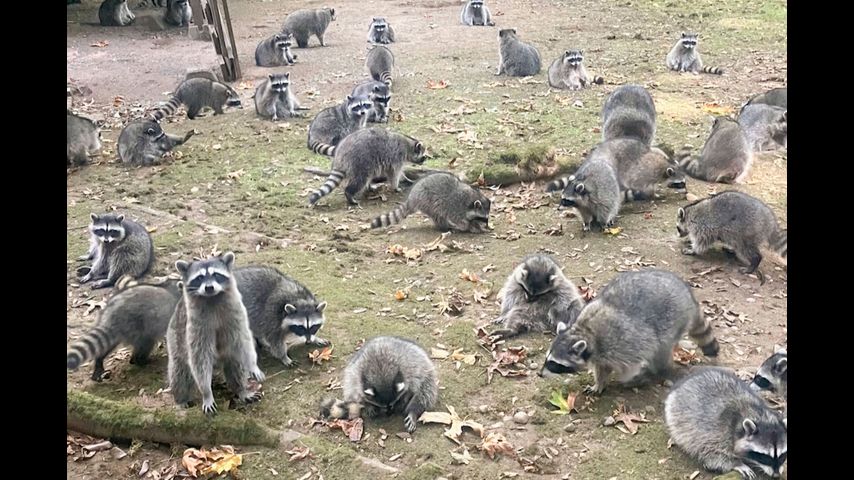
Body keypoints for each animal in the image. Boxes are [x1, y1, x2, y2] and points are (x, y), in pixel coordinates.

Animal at [167, 253, 265, 415]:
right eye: (199, 278)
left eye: (216, 275)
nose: (209, 287)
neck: (212, 298)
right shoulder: (195, 326)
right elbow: (199, 358)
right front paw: (206, 392)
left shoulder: (237, 314)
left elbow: (244, 341)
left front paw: (253, 365)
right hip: (175, 338)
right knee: (179, 371)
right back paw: (181, 398)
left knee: (235, 363)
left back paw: (241, 389)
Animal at [542, 270, 719, 394]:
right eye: (547, 359)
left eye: (554, 364)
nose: (539, 374)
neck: (584, 332)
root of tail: (688, 296)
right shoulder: (600, 353)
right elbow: (602, 367)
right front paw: (599, 383)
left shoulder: (624, 342)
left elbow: (630, 365)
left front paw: (631, 377)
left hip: (674, 319)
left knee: (660, 350)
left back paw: (657, 371)